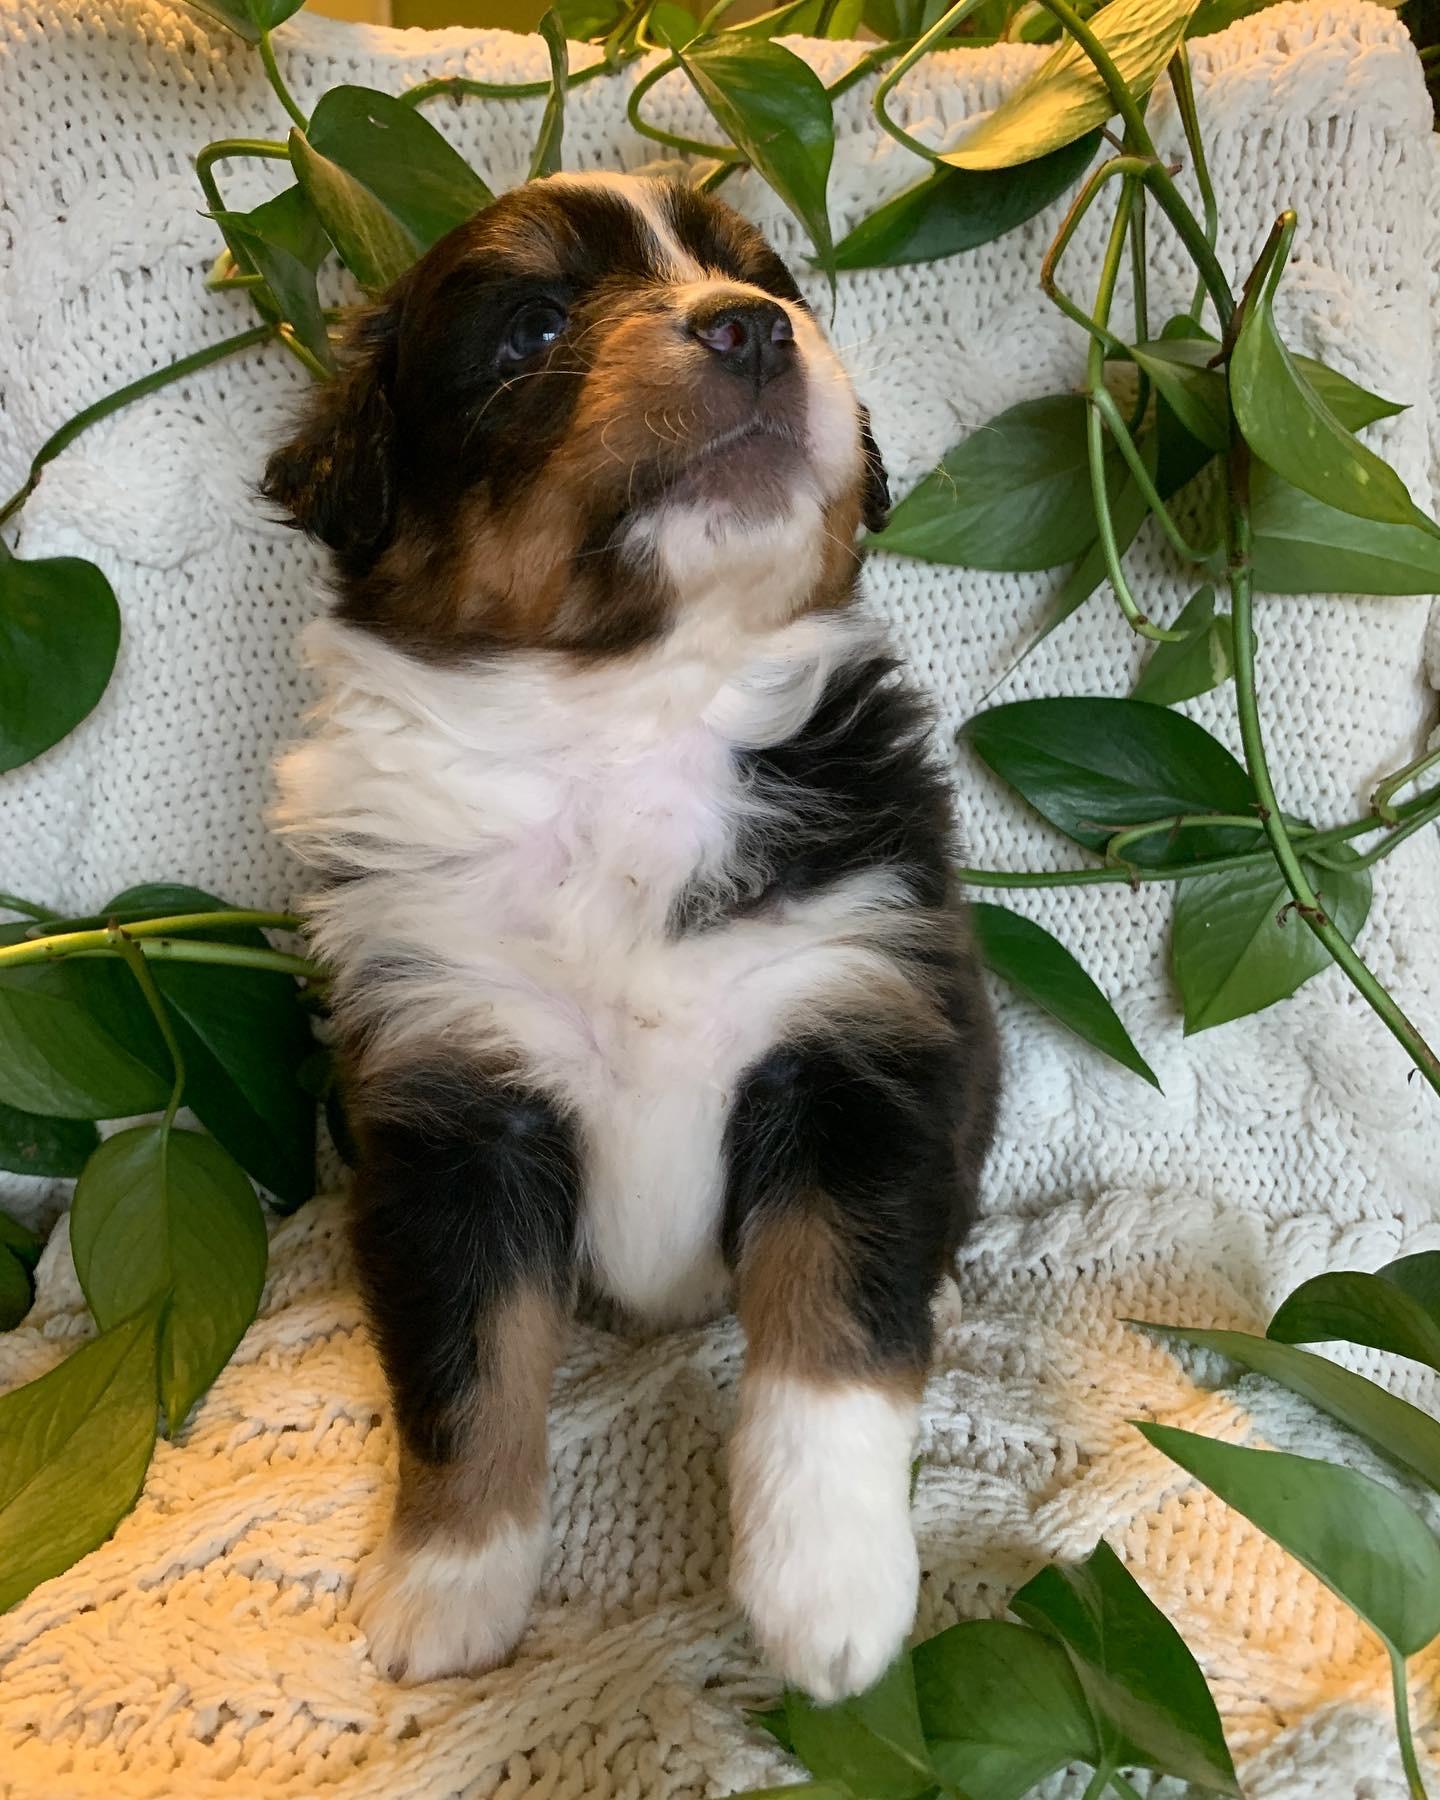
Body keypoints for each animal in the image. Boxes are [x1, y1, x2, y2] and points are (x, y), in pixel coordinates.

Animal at [265, 171, 999, 1703]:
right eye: (534, 326)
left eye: (769, 278)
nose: (751, 328)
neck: (626, 715)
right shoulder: (450, 1100)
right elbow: (464, 1369)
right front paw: (449, 1587)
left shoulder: (857, 1039)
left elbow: (834, 1333)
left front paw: (827, 1593)